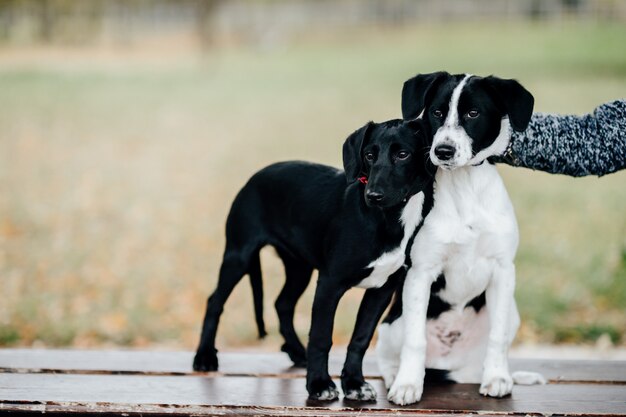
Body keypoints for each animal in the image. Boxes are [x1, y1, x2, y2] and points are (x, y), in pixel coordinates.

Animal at [191, 117, 434, 400]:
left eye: (403, 154)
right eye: (369, 155)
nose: (373, 196)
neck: (387, 219)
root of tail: (257, 175)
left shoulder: (382, 289)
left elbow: (360, 338)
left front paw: (353, 383)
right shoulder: (330, 283)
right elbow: (321, 337)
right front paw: (319, 384)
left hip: (299, 267)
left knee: (282, 303)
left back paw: (297, 352)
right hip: (239, 254)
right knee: (215, 301)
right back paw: (205, 357)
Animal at [378, 71, 544, 404]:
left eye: (473, 113)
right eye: (437, 112)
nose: (443, 151)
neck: (465, 185)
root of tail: (452, 368)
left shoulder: (503, 270)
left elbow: (497, 338)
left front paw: (498, 378)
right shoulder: (420, 273)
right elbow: (415, 340)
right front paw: (407, 384)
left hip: (513, 313)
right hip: (392, 324)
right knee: (387, 355)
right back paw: (396, 376)